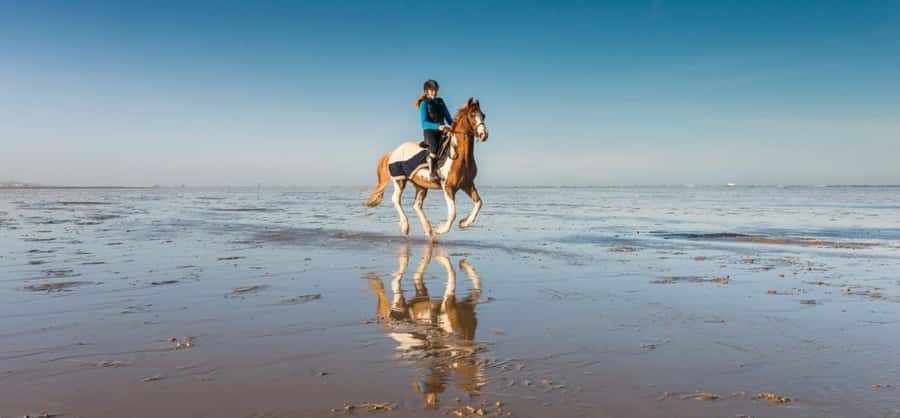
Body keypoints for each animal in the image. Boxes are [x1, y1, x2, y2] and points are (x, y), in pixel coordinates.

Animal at [364, 98, 488, 239]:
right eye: (472, 115)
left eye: (483, 115)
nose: (484, 134)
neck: (460, 156)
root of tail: (393, 152)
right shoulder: (448, 187)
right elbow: (452, 213)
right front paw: (440, 230)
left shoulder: (467, 184)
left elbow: (479, 203)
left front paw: (464, 223)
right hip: (399, 181)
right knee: (396, 199)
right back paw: (405, 226)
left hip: (421, 185)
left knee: (416, 205)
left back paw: (428, 229)